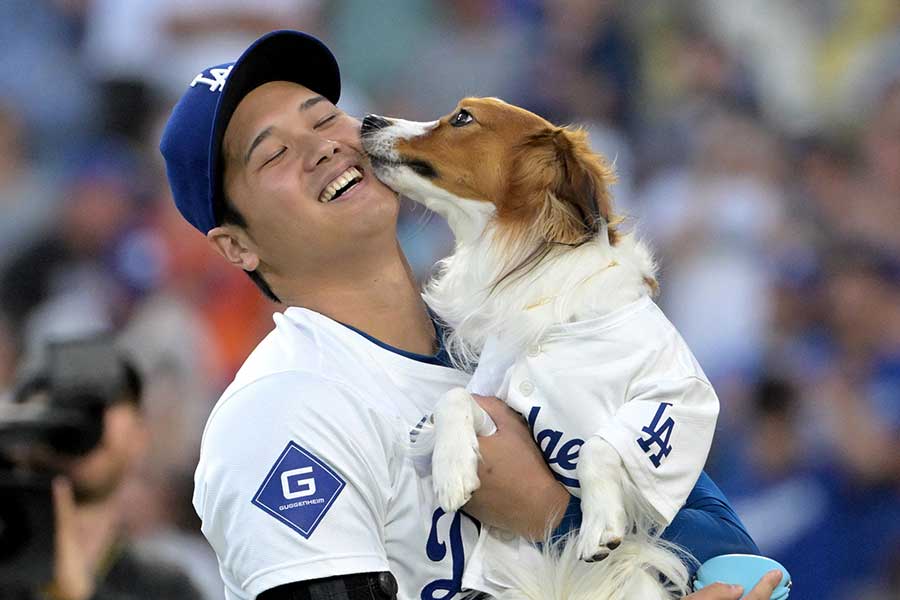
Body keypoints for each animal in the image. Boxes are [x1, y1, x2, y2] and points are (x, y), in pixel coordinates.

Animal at [360, 99, 712, 600]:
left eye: (463, 117)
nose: (368, 120)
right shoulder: (501, 403)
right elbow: (455, 398)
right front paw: (453, 470)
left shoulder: (681, 397)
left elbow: (599, 446)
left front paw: (600, 525)